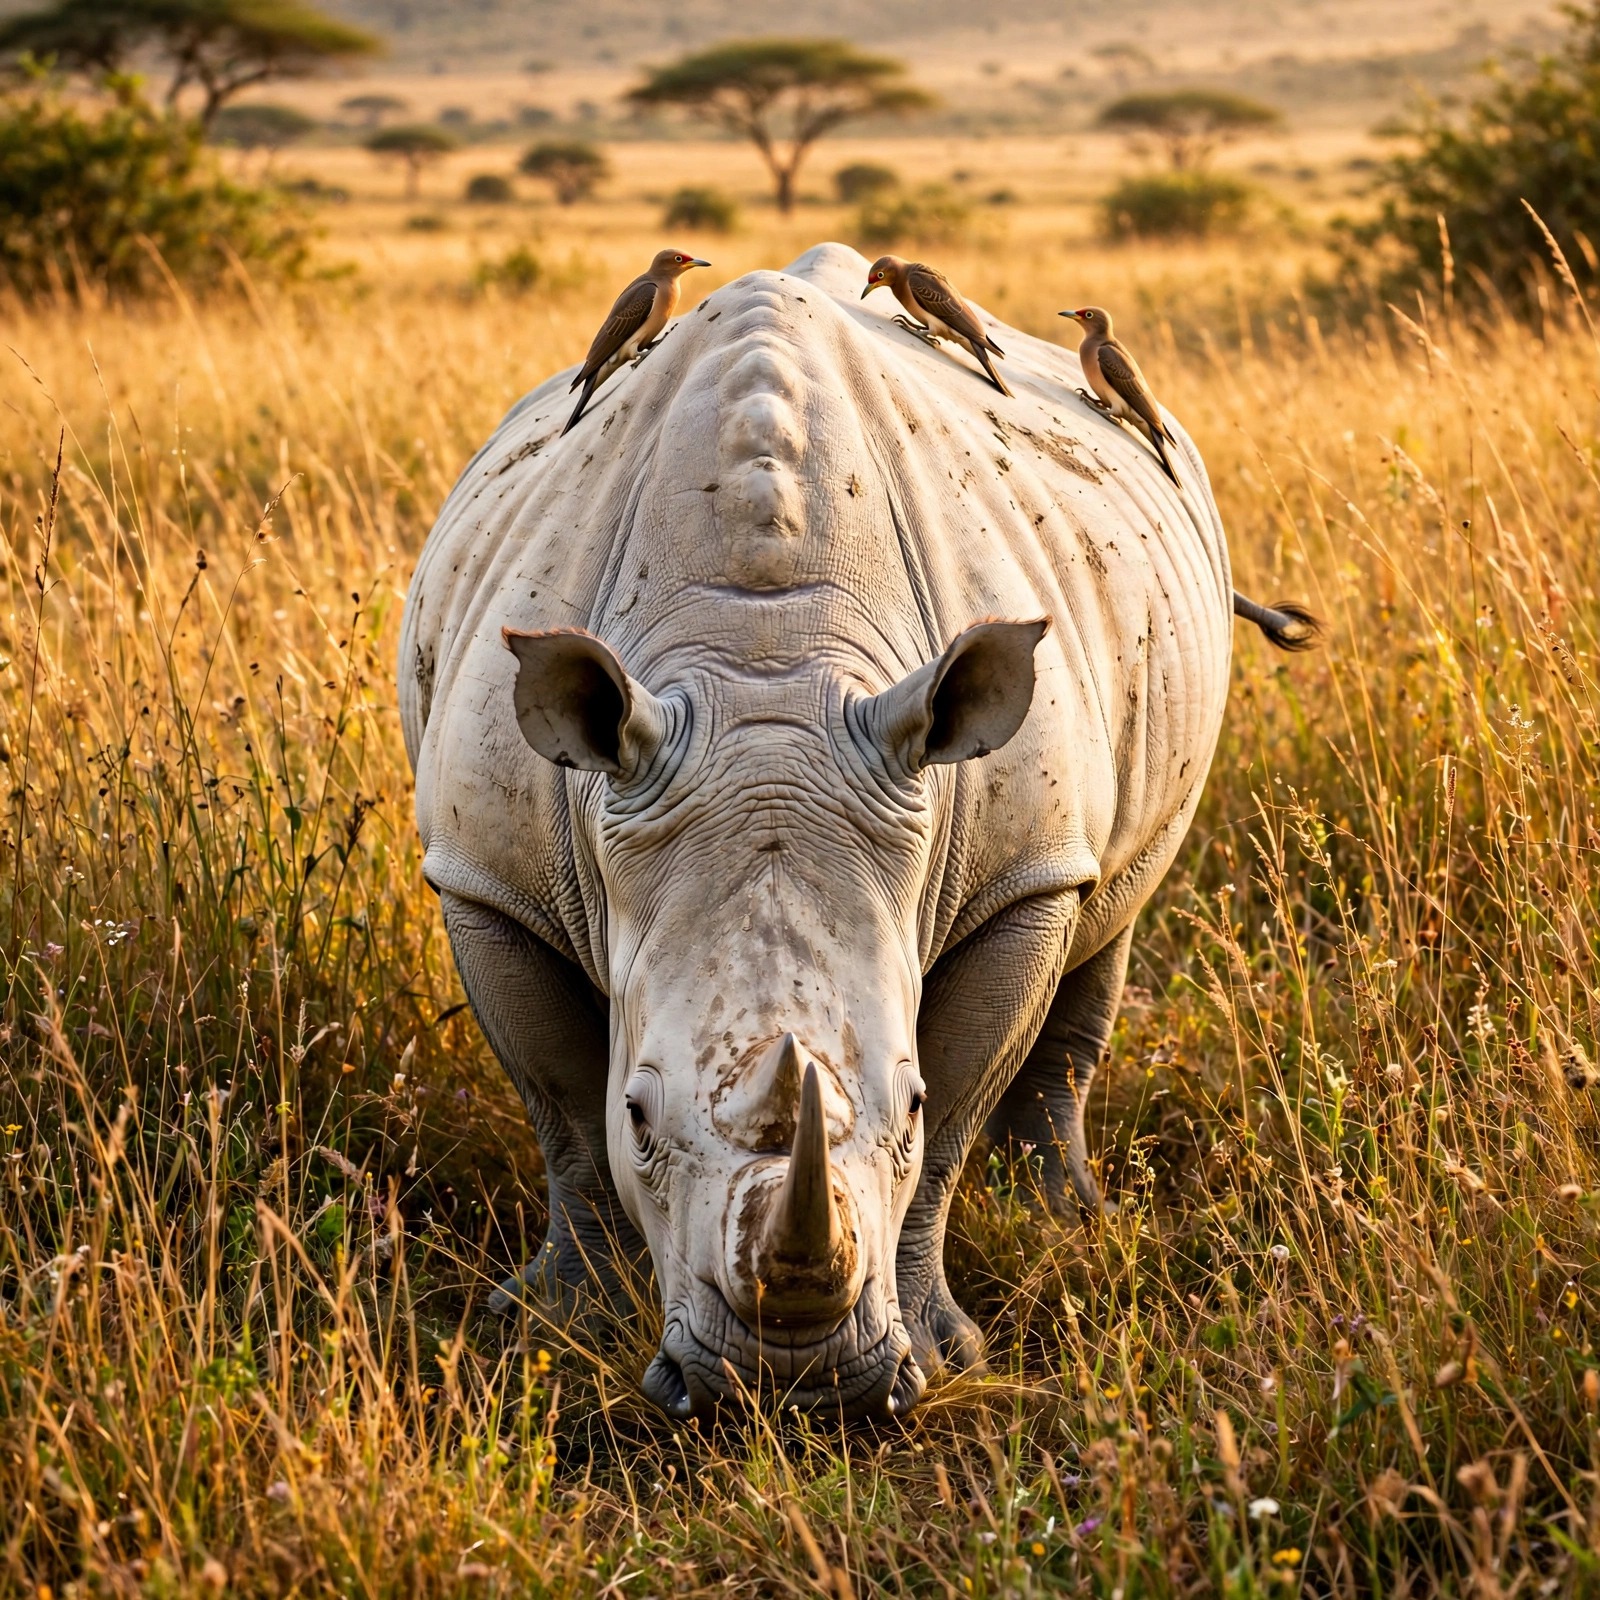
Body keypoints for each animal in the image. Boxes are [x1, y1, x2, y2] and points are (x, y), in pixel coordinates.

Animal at [399, 243, 1308, 1421]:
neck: (763, 664)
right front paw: (558, 1323)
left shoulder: (1020, 872)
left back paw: (1069, 1218)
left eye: (905, 1105)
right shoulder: (486, 875)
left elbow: (960, 1105)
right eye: (639, 1114)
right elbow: (561, 1114)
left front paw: (944, 1349)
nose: (788, 1386)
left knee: (1110, 908)